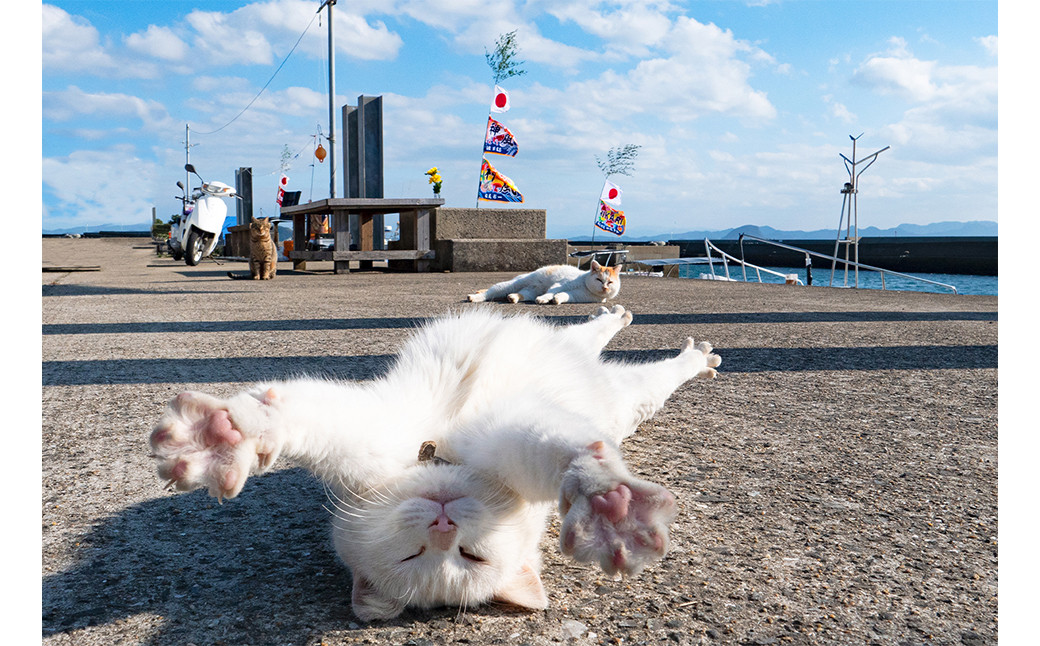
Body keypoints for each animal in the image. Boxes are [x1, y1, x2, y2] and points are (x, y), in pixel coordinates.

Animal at [150, 305, 723, 619]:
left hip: (620, 393)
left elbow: (564, 452)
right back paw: (640, 329)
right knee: (599, 345)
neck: (441, 456)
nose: (444, 524)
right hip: (603, 374)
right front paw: (222, 439)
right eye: (415, 555)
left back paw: (681, 348)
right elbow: (297, 419)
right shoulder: (372, 431)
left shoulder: (513, 434)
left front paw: (606, 502)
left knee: (621, 354)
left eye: (470, 555)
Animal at [470, 259, 615, 305]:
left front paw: (556, 300)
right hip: (516, 283)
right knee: (492, 290)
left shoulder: (578, 296)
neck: (585, 285)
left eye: (610, 282)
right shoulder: (561, 284)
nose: (605, 288)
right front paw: (544, 299)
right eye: (598, 279)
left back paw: (513, 297)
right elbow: (552, 291)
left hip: (531, 290)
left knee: (523, 294)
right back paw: (474, 297)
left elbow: (564, 295)